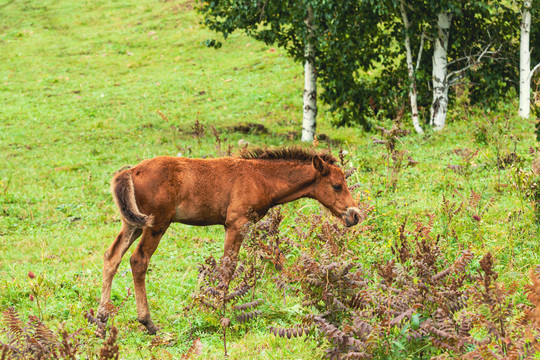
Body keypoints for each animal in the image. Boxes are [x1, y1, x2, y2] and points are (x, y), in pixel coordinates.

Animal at [95, 147, 360, 334]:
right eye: (337, 185)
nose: (355, 215)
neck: (261, 178)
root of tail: (130, 172)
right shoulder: (236, 223)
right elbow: (228, 267)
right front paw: (218, 309)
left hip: (132, 223)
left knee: (112, 256)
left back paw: (101, 319)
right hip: (156, 223)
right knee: (138, 260)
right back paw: (147, 322)